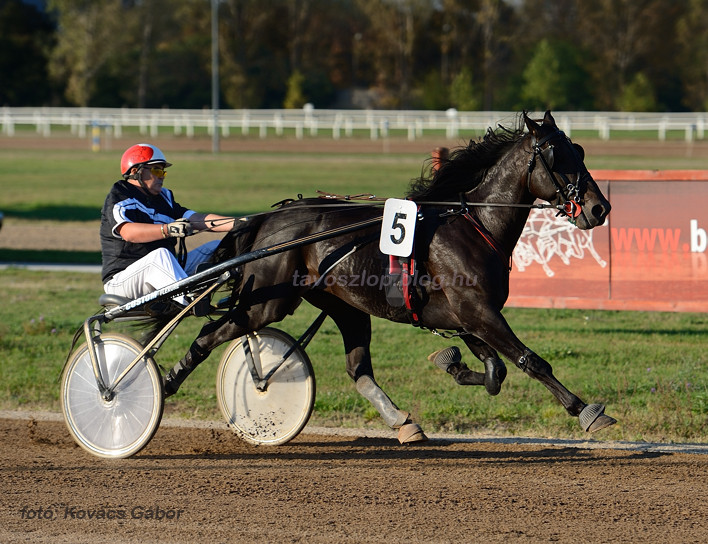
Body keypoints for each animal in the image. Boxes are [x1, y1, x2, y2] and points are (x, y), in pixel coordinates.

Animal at [160, 109, 612, 442]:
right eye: (558, 156)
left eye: (579, 150)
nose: (599, 208)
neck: (474, 224)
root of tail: (267, 219)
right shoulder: (478, 312)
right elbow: (530, 361)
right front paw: (586, 410)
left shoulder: (465, 316)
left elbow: (494, 372)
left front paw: (451, 362)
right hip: (267, 302)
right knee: (210, 334)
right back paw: (163, 383)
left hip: (344, 306)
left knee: (358, 369)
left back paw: (403, 422)